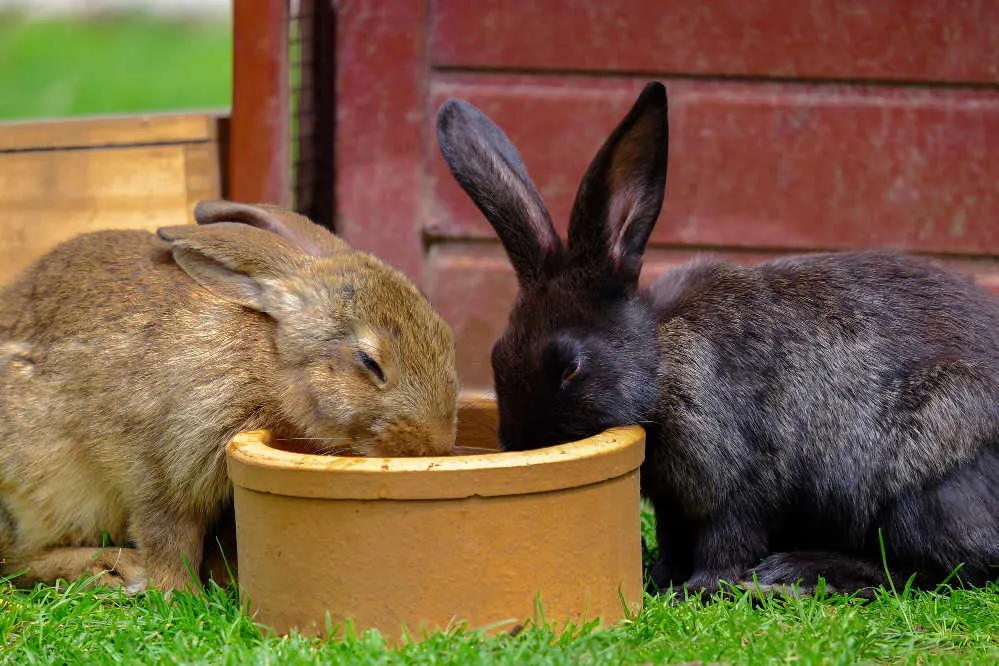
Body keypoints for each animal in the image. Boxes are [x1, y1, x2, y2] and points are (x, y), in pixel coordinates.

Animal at [0, 200, 458, 588]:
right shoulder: (163, 465)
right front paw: (179, 596)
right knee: (13, 558)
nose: (434, 444)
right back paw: (110, 569)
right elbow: (168, 536)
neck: (267, 362)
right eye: (370, 363)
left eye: (444, 334)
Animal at [442, 80, 999, 592]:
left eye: (570, 367)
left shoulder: (738, 480)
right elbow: (674, 539)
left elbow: (728, 538)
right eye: (496, 357)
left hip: (923, 486)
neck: (662, 363)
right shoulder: (672, 502)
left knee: (934, 569)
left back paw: (793, 573)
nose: (519, 444)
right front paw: (660, 581)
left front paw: (703, 589)